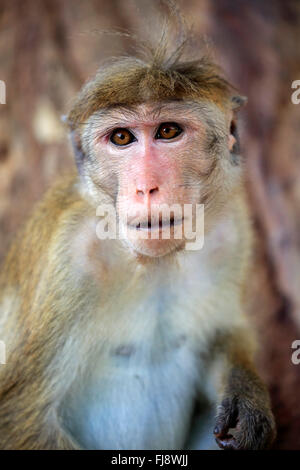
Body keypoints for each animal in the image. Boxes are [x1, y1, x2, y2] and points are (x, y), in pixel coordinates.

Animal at [0, 23, 276, 450]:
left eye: (168, 131)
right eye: (121, 138)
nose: (146, 187)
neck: (148, 259)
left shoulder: (232, 231)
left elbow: (223, 332)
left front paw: (247, 399)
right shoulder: (67, 257)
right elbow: (22, 412)